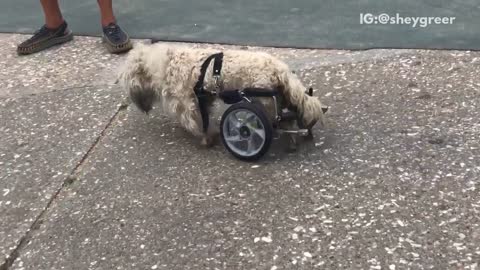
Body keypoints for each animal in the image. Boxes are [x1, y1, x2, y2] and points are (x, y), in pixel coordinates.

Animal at [117, 43, 326, 147]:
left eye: (128, 78)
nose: (134, 100)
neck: (167, 63)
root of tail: (279, 69)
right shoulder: (203, 99)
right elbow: (203, 117)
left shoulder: (187, 103)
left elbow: (197, 123)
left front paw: (206, 138)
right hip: (279, 97)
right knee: (292, 115)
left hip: (262, 101)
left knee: (281, 121)